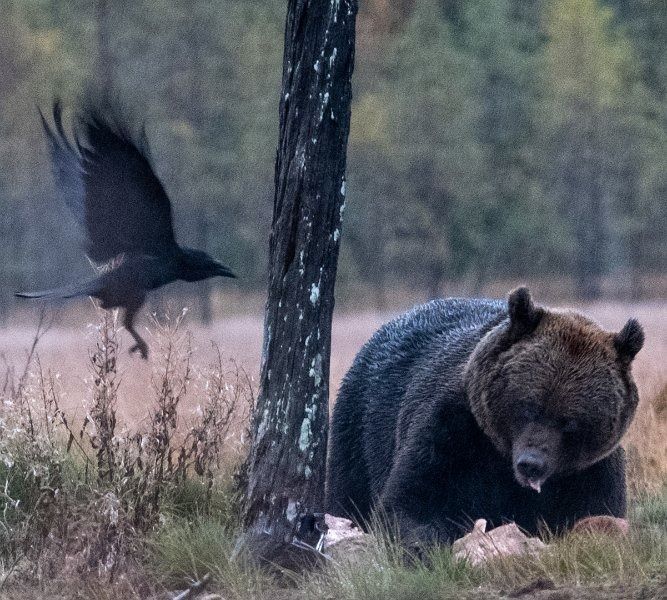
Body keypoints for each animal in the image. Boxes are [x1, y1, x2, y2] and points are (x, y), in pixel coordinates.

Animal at [326, 288, 644, 548]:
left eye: (570, 423)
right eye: (528, 407)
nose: (532, 464)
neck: (501, 461)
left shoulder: (590, 470)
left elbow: (598, 510)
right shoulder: (452, 432)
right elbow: (410, 501)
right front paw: (427, 545)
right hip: (360, 425)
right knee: (347, 492)